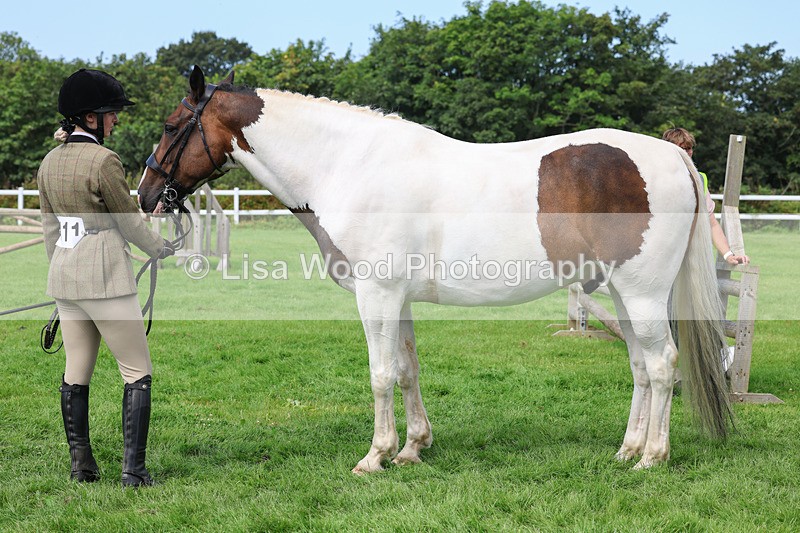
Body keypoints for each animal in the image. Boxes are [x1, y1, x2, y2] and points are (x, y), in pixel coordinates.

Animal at [138, 66, 732, 473]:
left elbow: (380, 374)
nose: (145, 195)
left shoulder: (375, 294)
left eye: (171, 126)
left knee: (663, 365)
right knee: (640, 367)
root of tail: (672, 156)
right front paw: (412, 449)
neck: (348, 166)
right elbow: (407, 371)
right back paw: (627, 449)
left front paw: (374, 457)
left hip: (643, 292)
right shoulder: (397, 297)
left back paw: (652, 457)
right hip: (622, 295)